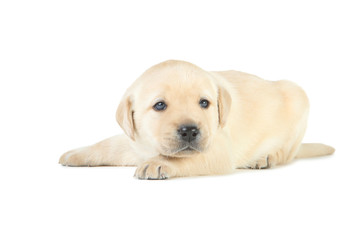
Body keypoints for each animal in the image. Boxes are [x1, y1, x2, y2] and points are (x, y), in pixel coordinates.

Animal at [59, 60, 334, 180]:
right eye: (160, 105)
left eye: (204, 103)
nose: (190, 130)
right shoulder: (135, 141)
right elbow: (108, 144)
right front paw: (76, 153)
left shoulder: (219, 149)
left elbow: (185, 158)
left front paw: (158, 164)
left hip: (298, 98)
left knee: (288, 151)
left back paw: (265, 158)